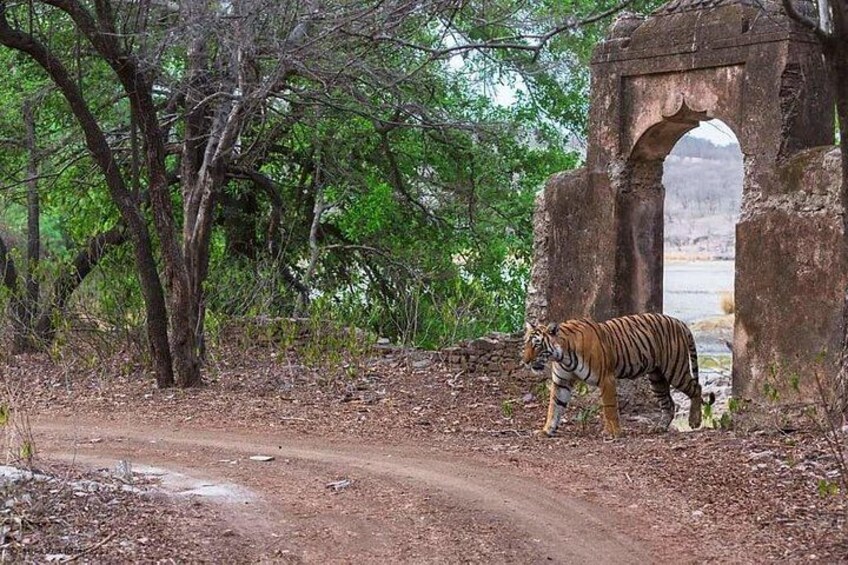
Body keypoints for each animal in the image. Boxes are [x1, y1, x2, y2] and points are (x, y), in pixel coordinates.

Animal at [523, 313, 714, 438]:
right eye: (526, 344)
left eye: (537, 345)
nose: (525, 361)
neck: (562, 355)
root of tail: (679, 321)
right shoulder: (561, 381)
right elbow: (554, 407)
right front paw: (546, 430)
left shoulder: (606, 378)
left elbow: (609, 408)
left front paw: (613, 433)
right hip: (657, 378)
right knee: (669, 403)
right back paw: (659, 428)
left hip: (675, 369)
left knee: (696, 388)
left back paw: (694, 421)